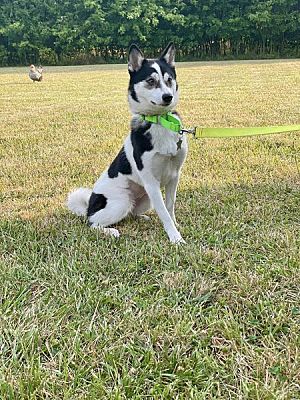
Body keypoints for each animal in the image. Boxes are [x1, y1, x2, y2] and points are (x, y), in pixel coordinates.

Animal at [67, 43, 188, 244]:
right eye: (150, 81)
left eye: (169, 80)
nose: (168, 97)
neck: (159, 121)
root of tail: (89, 205)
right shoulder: (151, 182)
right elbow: (163, 212)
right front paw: (175, 238)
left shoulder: (174, 176)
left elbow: (169, 207)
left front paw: (176, 226)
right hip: (122, 201)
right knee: (92, 223)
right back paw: (110, 231)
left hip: (145, 199)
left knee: (131, 213)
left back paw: (142, 217)